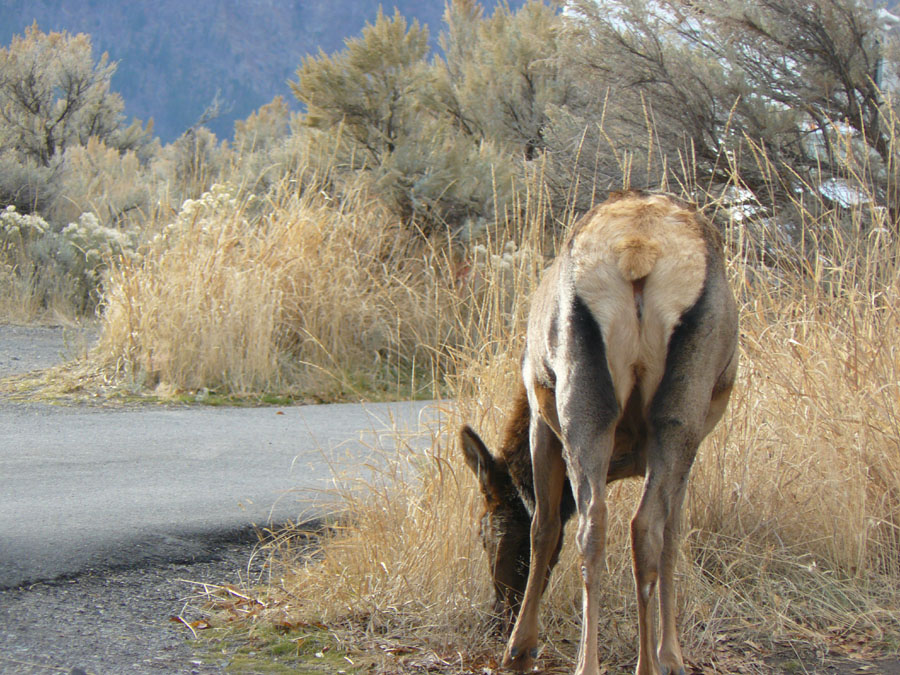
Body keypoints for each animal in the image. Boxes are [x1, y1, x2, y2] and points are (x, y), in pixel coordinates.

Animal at [460, 190, 736, 675]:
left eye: (483, 530)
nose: (498, 615)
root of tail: (639, 250)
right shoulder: (693, 444)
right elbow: (673, 535)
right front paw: (672, 655)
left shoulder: (540, 412)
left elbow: (544, 526)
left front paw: (520, 647)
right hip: (678, 412)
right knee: (639, 527)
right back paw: (641, 663)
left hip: (581, 395)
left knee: (597, 524)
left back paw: (593, 662)